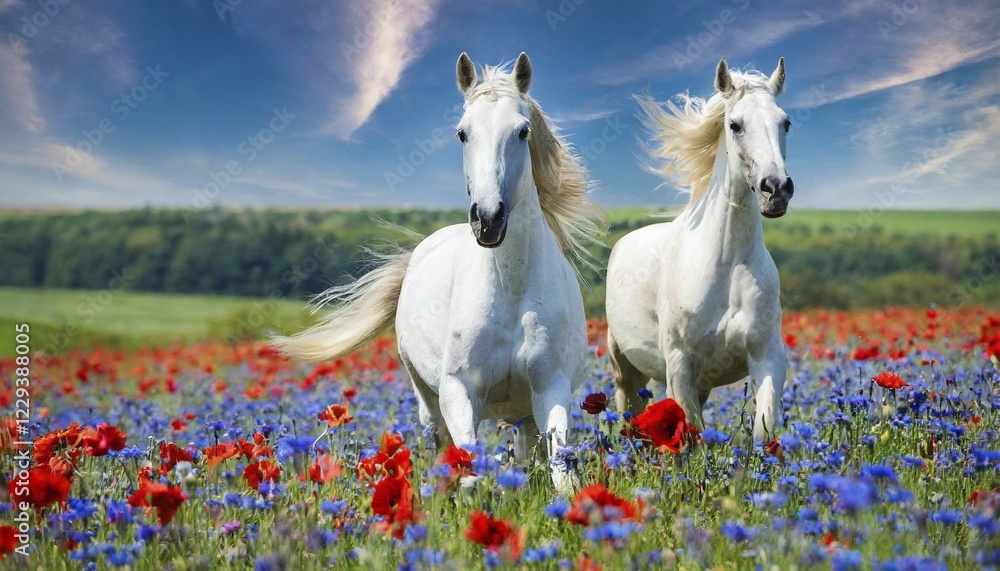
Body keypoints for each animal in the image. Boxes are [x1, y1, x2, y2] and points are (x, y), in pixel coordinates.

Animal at [274, 52, 604, 490]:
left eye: (522, 131)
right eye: (462, 133)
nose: (488, 220)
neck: (511, 286)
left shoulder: (550, 388)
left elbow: (561, 470)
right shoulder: (458, 392)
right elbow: (469, 470)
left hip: (523, 411)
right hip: (427, 399)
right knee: (439, 446)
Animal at [606, 57, 793, 441]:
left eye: (786, 122)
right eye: (735, 125)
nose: (776, 190)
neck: (727, 263)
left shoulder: (766, 356)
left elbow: (763, 428)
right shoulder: (680, 368)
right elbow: (690, 436)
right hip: (626, 370)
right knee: (630, 414)